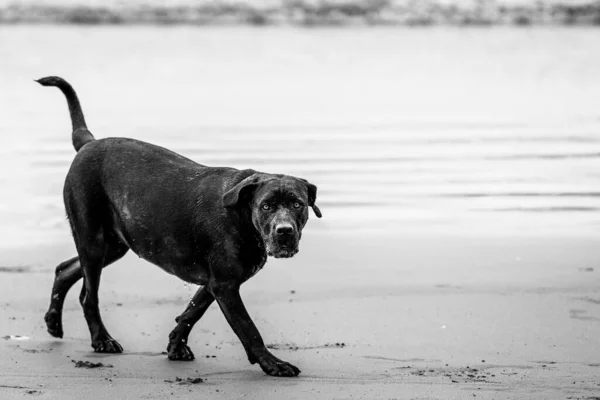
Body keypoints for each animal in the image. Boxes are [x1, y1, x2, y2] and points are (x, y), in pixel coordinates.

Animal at [35, 76, 322, 376]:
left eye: (298, 204)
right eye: (266, 206)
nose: (284, 231)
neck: (241, 215)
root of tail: (88, 143)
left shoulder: (215, 282)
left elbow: (192, 311)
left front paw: (176, 345)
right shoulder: (225, 284)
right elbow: (248, 329)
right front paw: (273, 363)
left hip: (113, 245)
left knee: (65, 269)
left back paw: (54, 321)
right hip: (92, 239)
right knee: (88, 296)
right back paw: (101, 339)